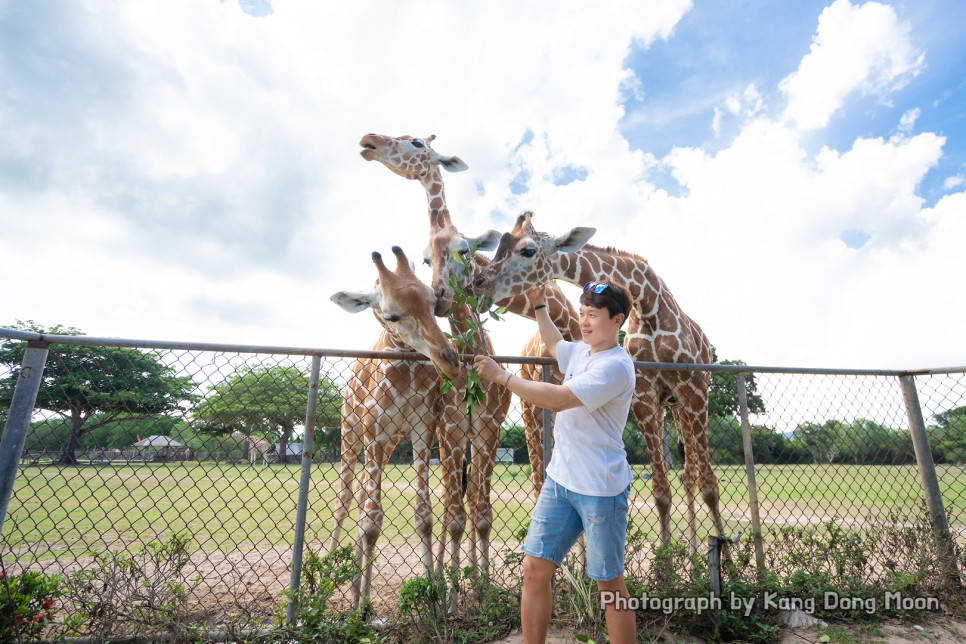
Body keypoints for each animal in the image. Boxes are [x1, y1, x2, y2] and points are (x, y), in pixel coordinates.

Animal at [332, 244, 462, 608]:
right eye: (391, 315)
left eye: (434, 301)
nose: (450, 361)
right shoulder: (374, 431)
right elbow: (372, 522)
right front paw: (362, 609)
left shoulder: (421, 429)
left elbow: (423, 515)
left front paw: (433, 599)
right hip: (351, 434)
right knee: (344, 503)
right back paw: (322, 588)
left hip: (388, 442)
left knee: (361, 501)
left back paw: (353, 589)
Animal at [358, 133, 580, 500]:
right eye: (425, 259)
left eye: (416, 142)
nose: (368, 141)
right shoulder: (451, 426)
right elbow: (457, 503)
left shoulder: (491, 426)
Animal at [468, 213, 728, 552]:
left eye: (527, 251)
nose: (477, 284)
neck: (648, 305)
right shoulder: (644, 396)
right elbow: (660, 491)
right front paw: (665, 560)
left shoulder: (693, 389)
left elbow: (710, 485)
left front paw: (725, 554)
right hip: (665, 406)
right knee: (685, 475)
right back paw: (692, 549)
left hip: (687, 401)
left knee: (695, 475)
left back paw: (698, 550)